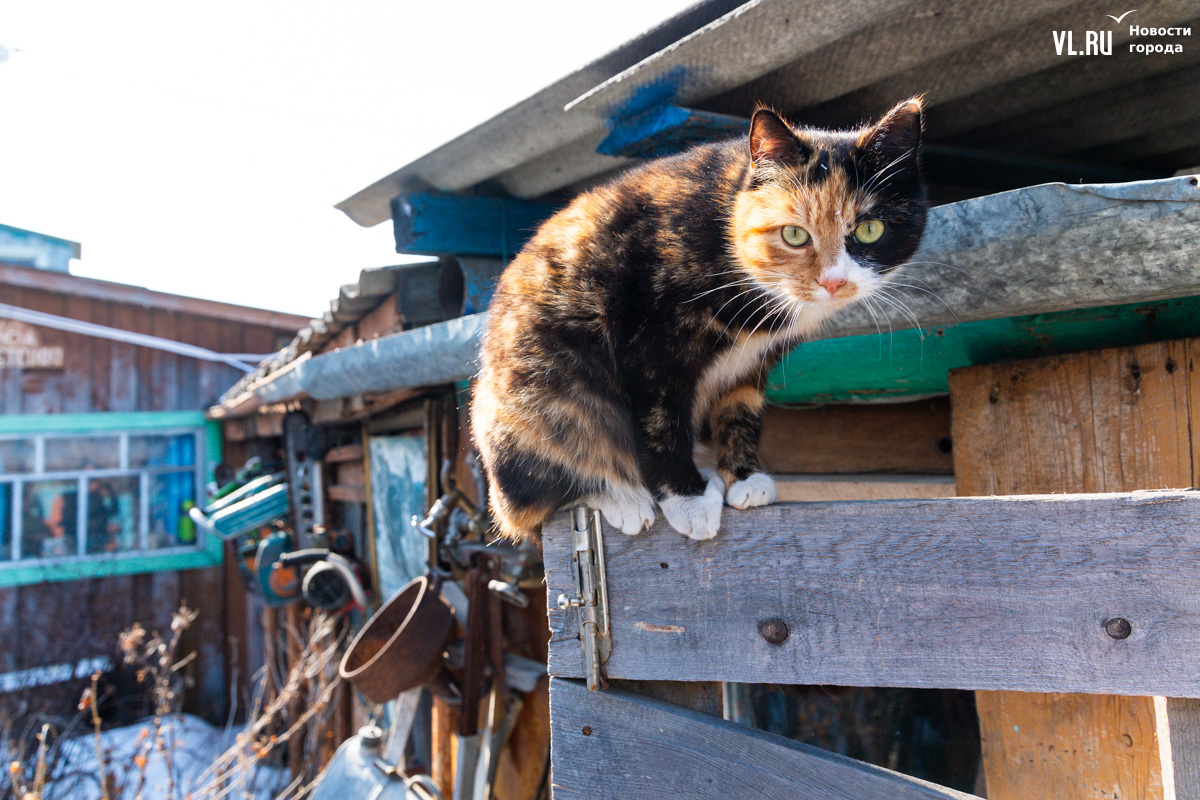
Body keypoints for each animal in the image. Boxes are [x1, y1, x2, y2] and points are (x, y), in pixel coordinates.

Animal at [468, 97, 926, 542]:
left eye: (869, 230)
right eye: (795, 234)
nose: (833, 281)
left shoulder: (752, 363)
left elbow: (740, 410)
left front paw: (743, 477)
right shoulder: (649, 346)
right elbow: (660, 423)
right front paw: (687, 499)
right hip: (547, 395)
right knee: (541, 497)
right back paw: (622, 497)